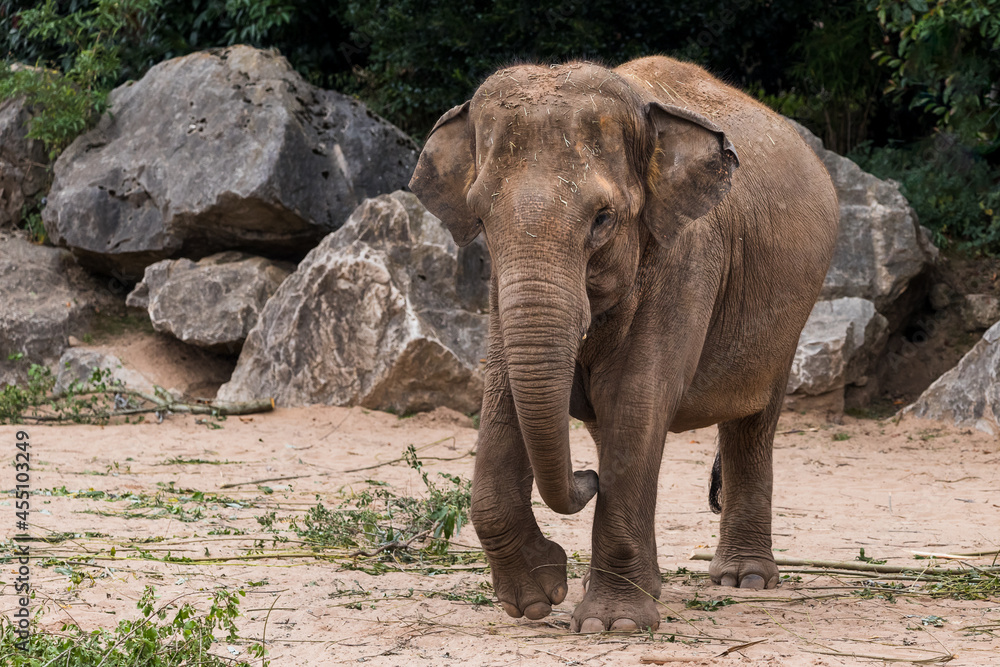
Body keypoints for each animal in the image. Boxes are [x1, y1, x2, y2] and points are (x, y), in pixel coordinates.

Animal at [409, 56, 838, 633]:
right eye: (480, 218)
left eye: (603, 219)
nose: (585, 479)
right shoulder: (499, 291)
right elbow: (503, 397)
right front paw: (537, 600)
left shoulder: (688, 258)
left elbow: (635, 400)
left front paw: (611, 626)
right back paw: (654, 584)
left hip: (790, 314)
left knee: (752, 420)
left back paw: (742, 580)